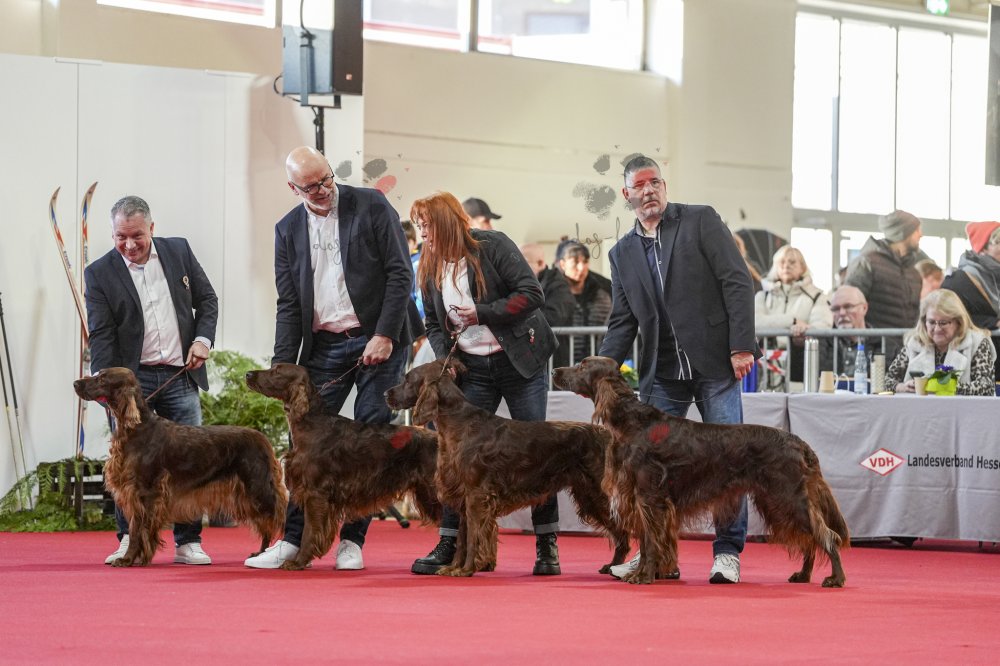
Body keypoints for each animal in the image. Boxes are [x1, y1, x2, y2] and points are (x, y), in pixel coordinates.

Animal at [73, 368, 287, 567]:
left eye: (102, 379)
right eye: (98, 374)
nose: (75, 383)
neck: (138, 428)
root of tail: (263, 439)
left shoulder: (144, 491)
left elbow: (136, 530)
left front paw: (128, 559)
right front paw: (139, 557)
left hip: (257, 488)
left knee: (275, 519)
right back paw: (260, 553)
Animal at [245, 363, 441, 570]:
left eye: (277, 371)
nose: (248, 374)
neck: (311, 424)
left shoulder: (316, 492)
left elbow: (310, 531)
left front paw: (298, 561)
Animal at [384, 358, 630, 577]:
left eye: (408, 378)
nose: (386, 394)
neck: (459, 424)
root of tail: (607, 434)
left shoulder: (476, 495)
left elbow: (473, 537)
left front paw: (466, 569)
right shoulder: (464, 497)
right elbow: (463, 538)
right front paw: (453, 567)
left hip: (600, 493)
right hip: (589, 494)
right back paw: (613, 566)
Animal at [553, 356, 849, 587]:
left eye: (582, 365)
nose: (555, 370)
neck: (632, 422)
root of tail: (798, 442)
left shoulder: (649, 496)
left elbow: (650, 541)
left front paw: (643, 576)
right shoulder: (645, 499)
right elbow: (652, 541)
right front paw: (649, 572)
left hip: (787, 497)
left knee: (826, 535)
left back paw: (836, 578)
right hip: (777, 501)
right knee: (810, 538)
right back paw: (803, 574)